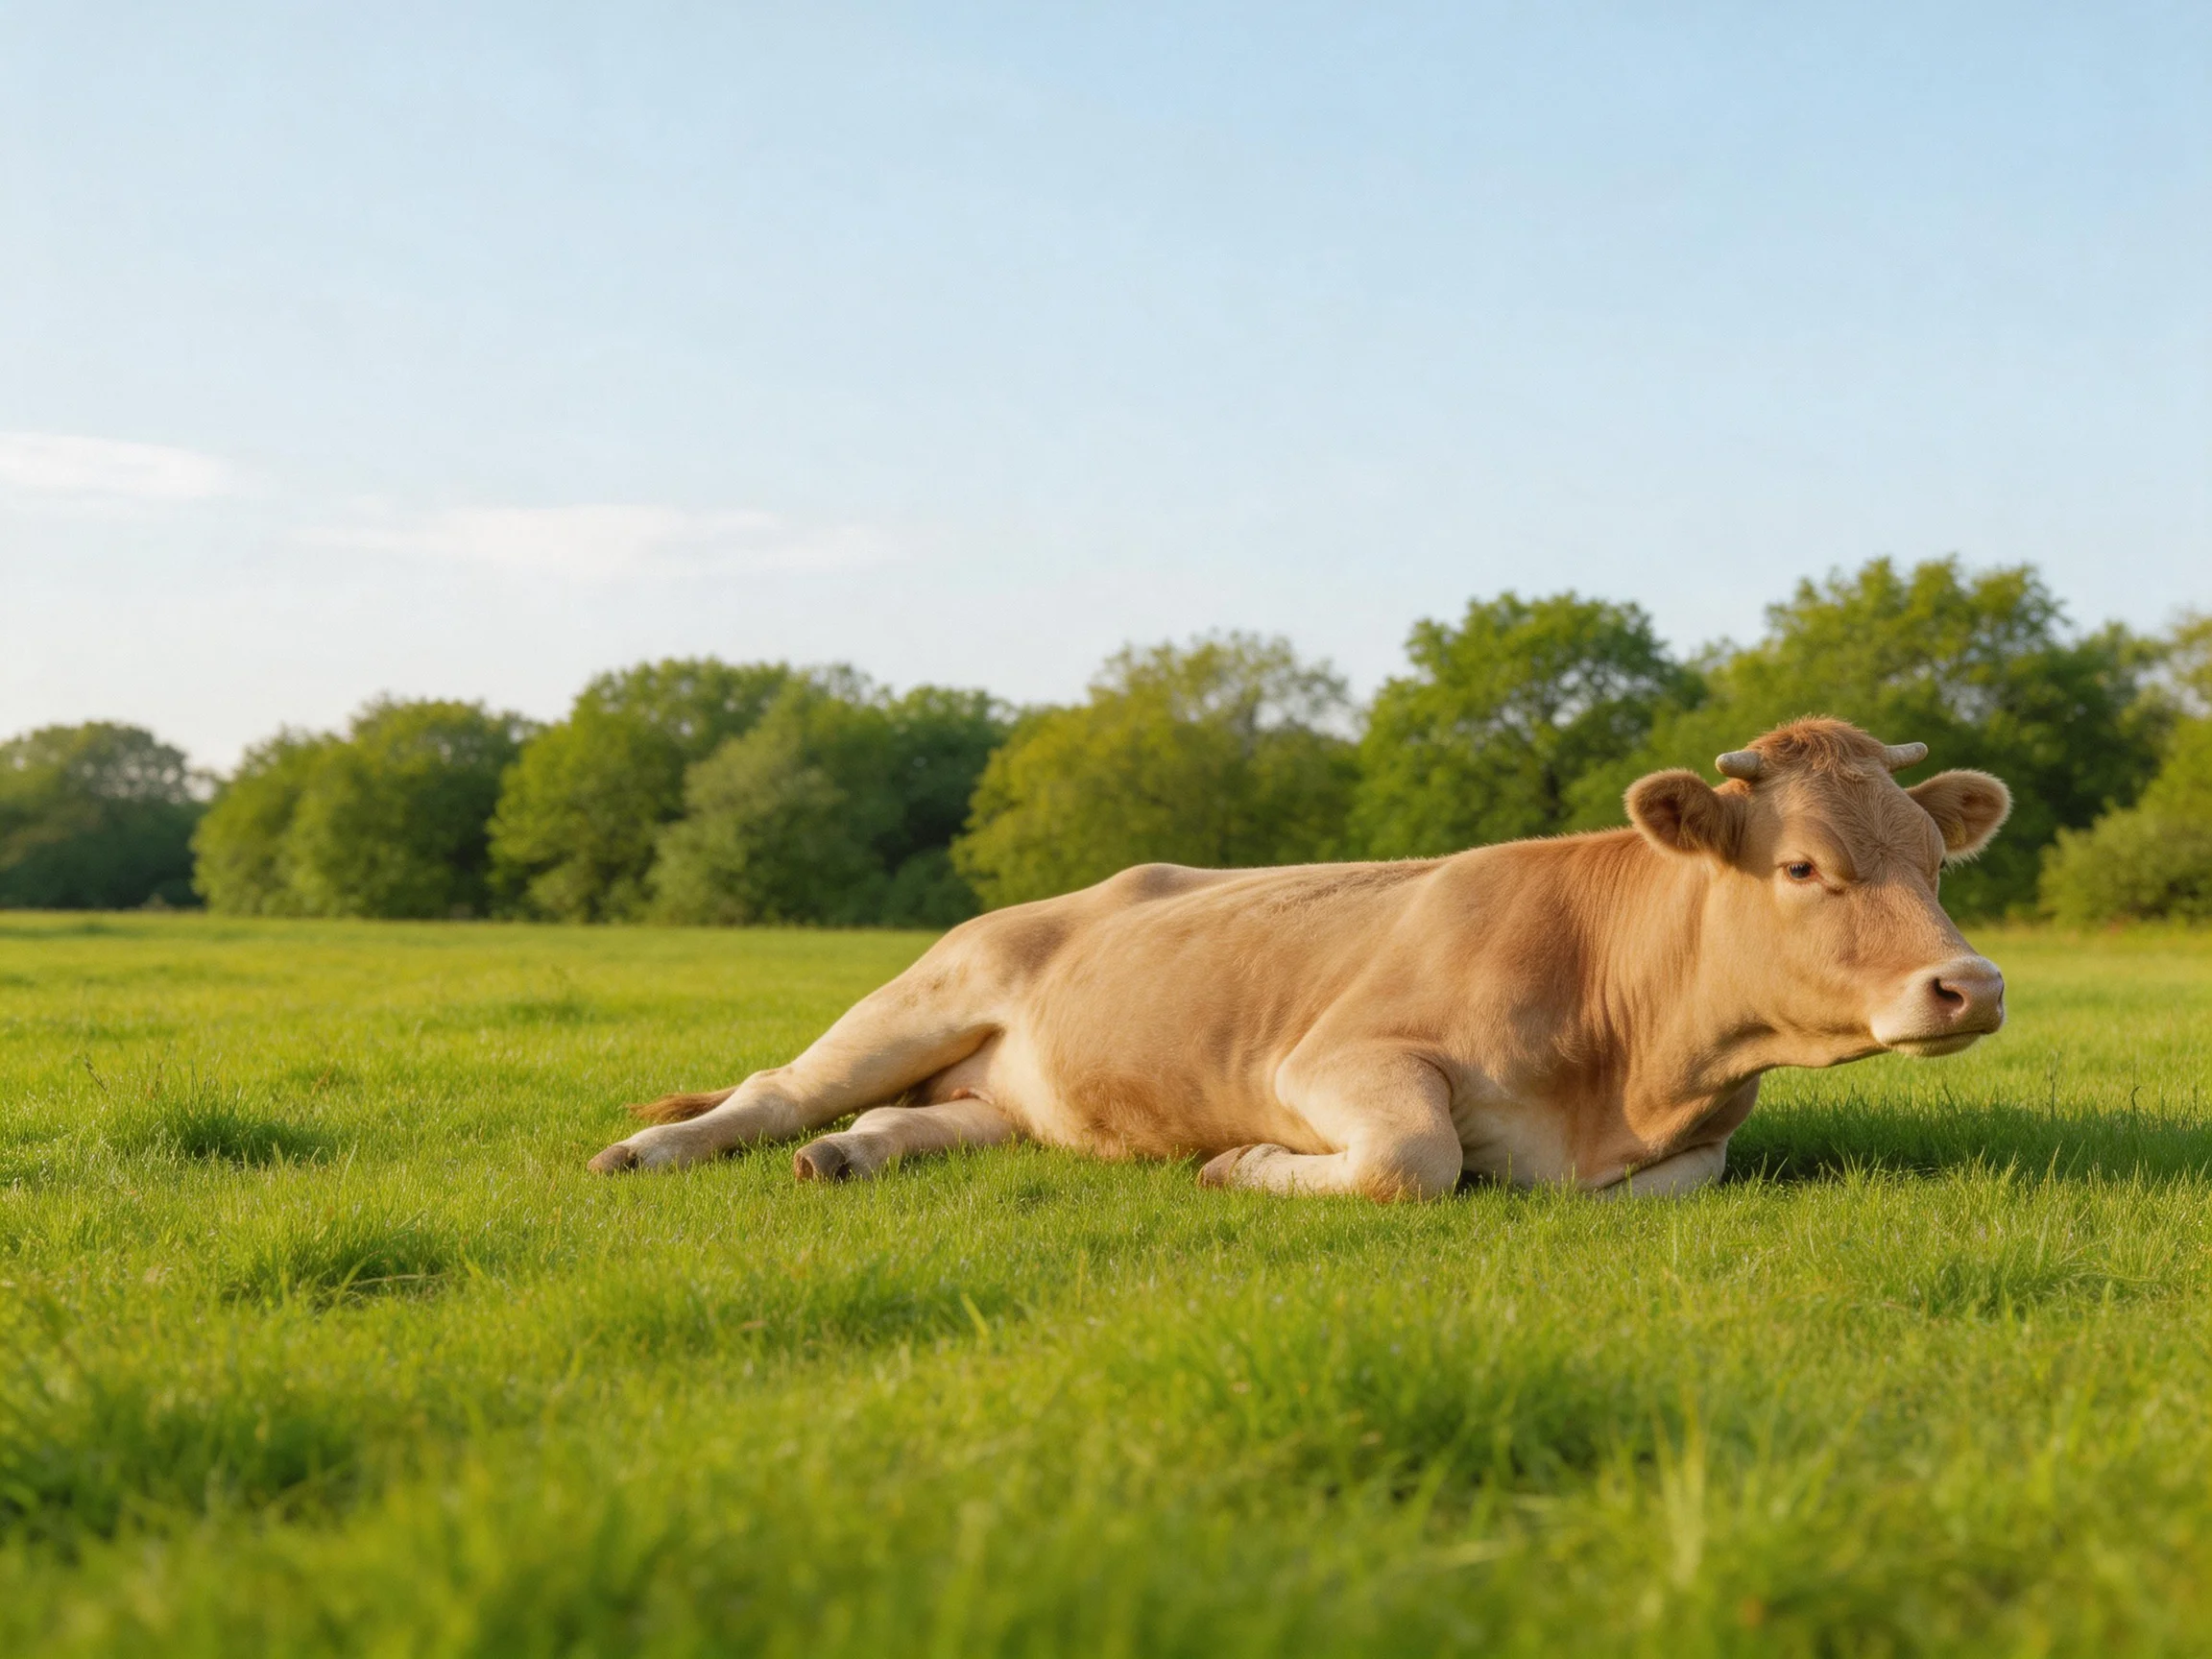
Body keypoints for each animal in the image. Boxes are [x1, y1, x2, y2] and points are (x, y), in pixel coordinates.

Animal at [588, 718, 2012, 1199]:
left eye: (1937, 865)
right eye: (1804, 867)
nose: (1973, 983)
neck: (1631, 1067)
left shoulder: (1690, 1150)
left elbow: (1669, 1187)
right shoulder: (1335, 1060)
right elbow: (1412, 1162)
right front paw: (1240, 1165)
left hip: (1010, 1093)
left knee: (928, 1122)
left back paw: (853, 1157)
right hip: (925, 992)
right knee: (775, 1089)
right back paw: (652, 1154)